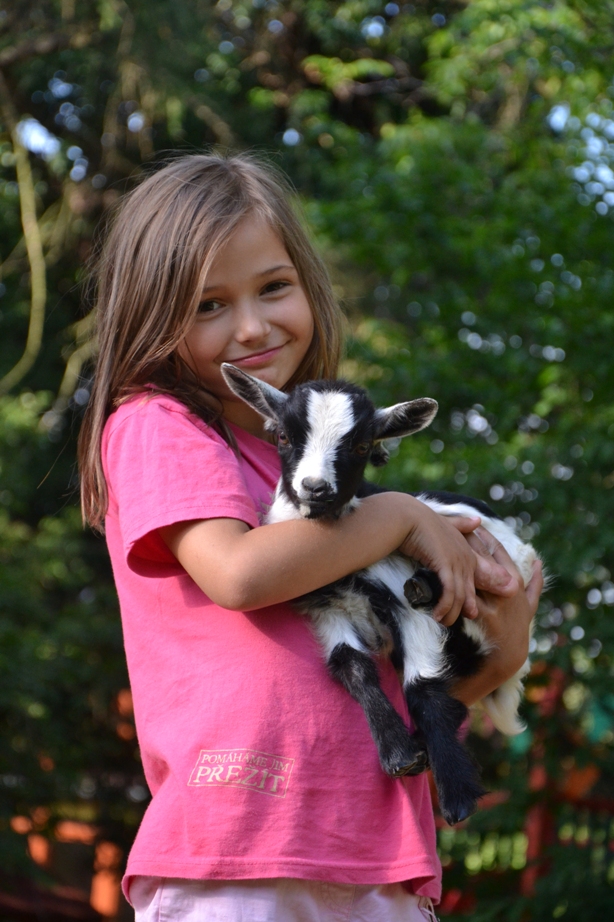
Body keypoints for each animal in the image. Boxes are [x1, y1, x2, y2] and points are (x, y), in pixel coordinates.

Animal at [221, 364, 539, 826]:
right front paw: (399, 755)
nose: (314, 487)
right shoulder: (325, 608)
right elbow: (352, 666)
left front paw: (457, 794)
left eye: (361, 444)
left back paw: (427, 584)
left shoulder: (410, 611)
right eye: (282, 436)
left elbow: (423, 688)